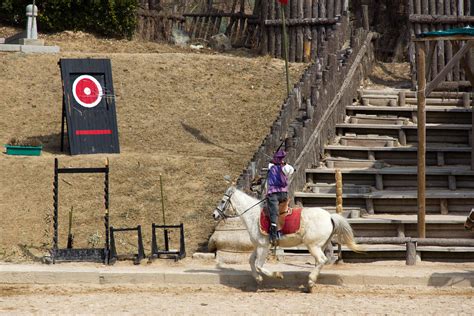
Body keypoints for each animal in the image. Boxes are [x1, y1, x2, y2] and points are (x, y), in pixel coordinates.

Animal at [212, 186, 362, 292]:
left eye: (223, 201)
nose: (214, 215)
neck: (253, 215)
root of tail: (330, 216)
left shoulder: (263, 247)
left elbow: (259, 265)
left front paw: (277, 275)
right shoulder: (258, 246)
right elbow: (251, 262)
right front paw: (258, 279)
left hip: (313, 246)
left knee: (321, 260)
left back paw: (310, 281)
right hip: (321, 245)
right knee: (320, 262)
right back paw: (311, 283)